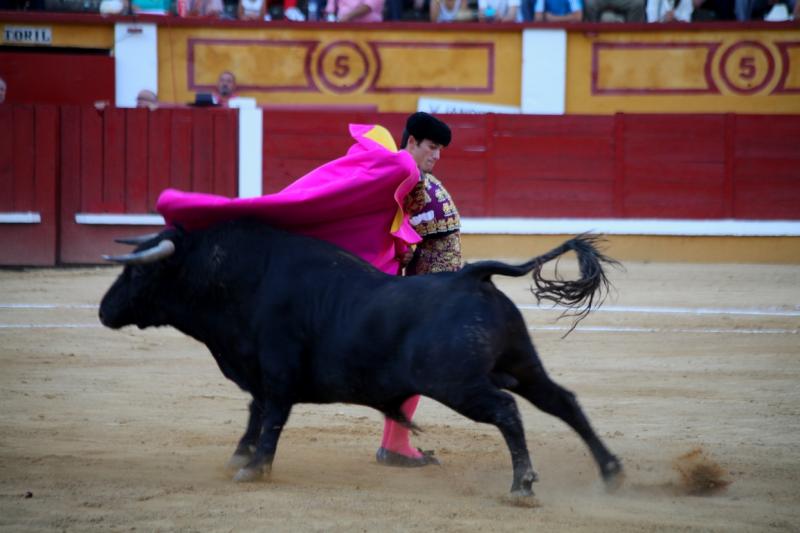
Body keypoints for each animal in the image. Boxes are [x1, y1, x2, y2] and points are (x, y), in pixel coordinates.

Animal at [98, 216, 624, 494]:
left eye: (138, 273)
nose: (104, 310)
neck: (239, 280)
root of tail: (471, 275)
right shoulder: (260, 374)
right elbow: (255, 412)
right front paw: (239, 457)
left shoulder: (278, 371)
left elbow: (272, 418)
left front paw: (256, 467)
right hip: (520, 364)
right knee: (563, 402)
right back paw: (610, 470)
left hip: (460, 385)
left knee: (508, 411)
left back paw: (522, 485)